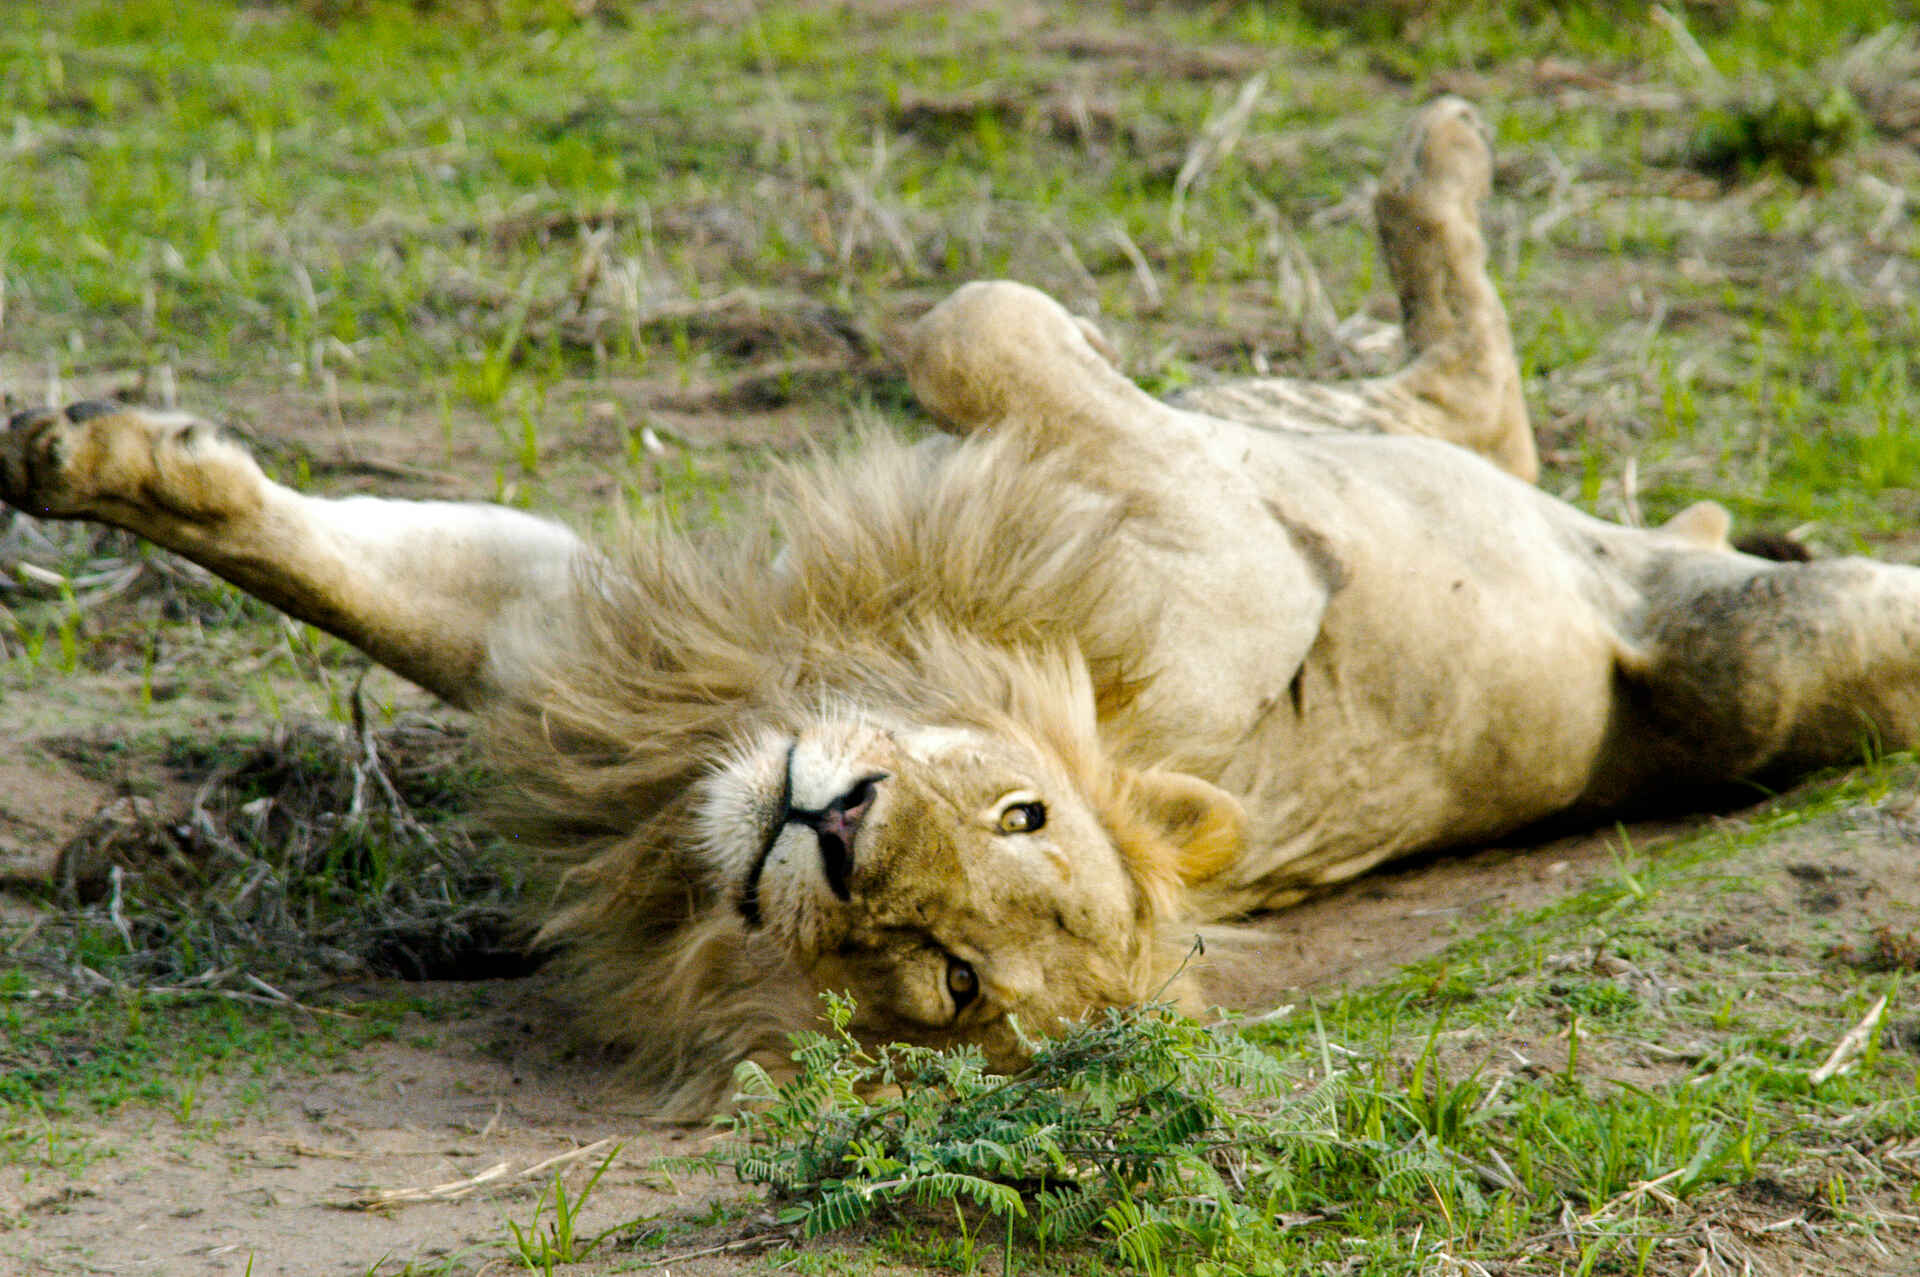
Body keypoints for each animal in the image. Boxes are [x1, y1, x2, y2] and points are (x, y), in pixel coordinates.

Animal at [6, 99, 1920, 1116]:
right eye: (1019, 809)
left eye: (944, 979)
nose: (838, 830)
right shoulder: (596, 649)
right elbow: (327, 566)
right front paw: (96, 455)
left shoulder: (1230, 570)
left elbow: (970, 318)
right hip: (1427, 456)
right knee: (1465, 394)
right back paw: (1439, 164)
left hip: (1762, 661)